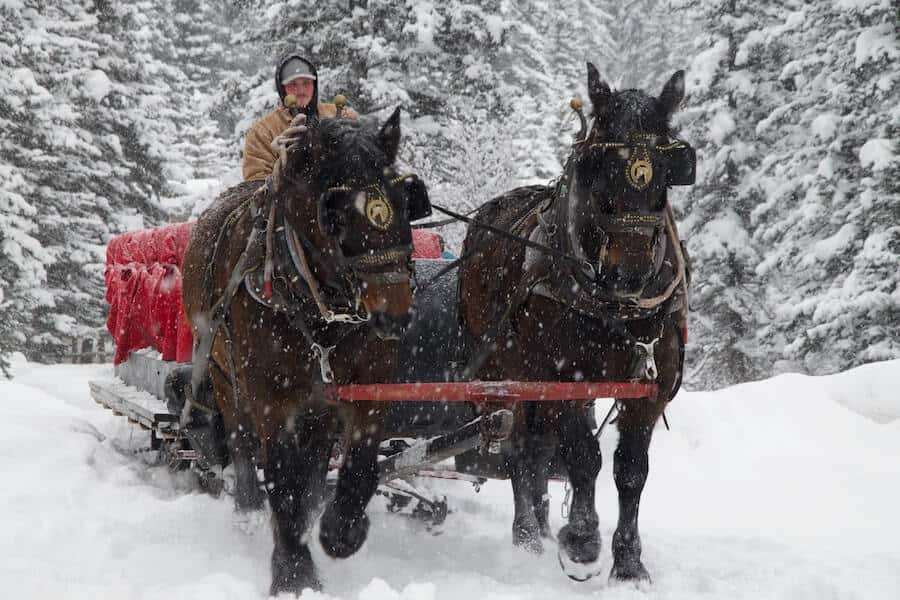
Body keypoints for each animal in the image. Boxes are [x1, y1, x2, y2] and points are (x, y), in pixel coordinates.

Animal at [181, 109, 430, 596]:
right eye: (336, 212)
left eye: (405, 198)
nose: (394, 315)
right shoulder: (270, 397)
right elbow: (282, 474)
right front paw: (293, 570)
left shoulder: (368, 384)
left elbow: (360, 463)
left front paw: (341, 530)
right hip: (221, 372)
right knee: (241, 440)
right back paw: (249, 509)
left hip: (317, 402)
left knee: (314, 459)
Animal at [460, 64, 692, 580]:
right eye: (598, 168)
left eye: (668, 173)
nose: (629, 271)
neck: (615, 306)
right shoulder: (565, 376)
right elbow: (584, 458)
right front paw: (583, 539)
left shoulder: (652, 382)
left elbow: (630, 469)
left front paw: (628, 563)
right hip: (512, 373)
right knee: (521, 447)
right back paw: (528, 533)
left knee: (537, 448)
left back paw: (543, 526)